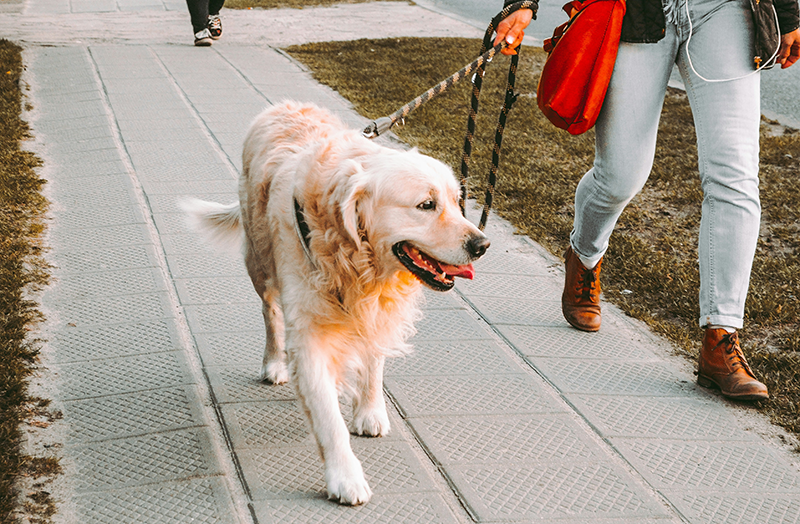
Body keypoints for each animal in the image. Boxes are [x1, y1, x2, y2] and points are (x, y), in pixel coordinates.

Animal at [184, 100, 490, 506]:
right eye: (426, 205)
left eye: (458, 202)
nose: (482, 244)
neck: (356, 260)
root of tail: (283, 105)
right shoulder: (309, 334)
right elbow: (329, 418)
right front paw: (345, 477)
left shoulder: (377, 311)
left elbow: (374, 362)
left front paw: (370, 410)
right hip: (260, 261)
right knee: (270, 312)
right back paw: (274, 362)